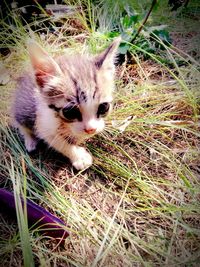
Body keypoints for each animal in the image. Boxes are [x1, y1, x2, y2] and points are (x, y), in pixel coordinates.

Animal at [12, 37, 120, 171]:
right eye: (70, 112)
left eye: (104, 107)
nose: (91, 129)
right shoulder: (43, 123)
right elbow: (60, 142)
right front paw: (79, 157)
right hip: (22, 109)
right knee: (22, 125)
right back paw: (30, 140)